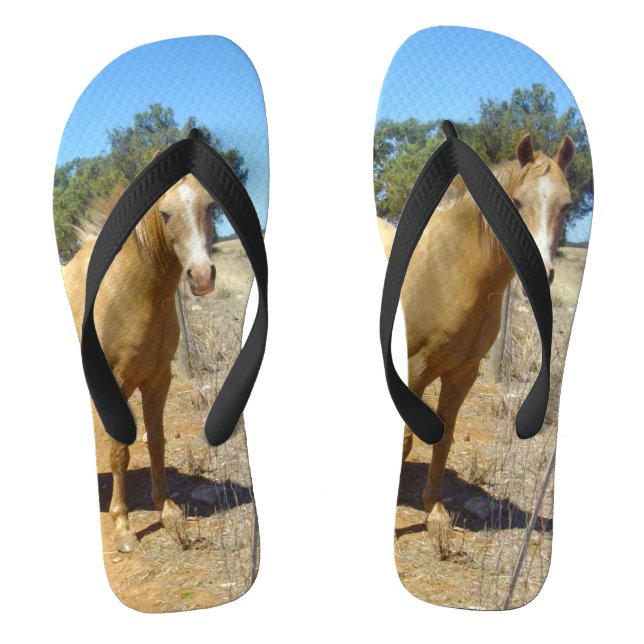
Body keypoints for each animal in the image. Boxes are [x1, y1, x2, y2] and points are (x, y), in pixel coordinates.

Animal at [63, 175, 217, 552]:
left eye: (209, 205)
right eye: (164, 213)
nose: (202, 276)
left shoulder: (158, 379)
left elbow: (156, 441)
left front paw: (168, 510)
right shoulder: (114, 387)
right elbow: (119, 452)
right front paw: (123, 528)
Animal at [378, 133, 575, 529]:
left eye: (566, 206)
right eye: (517, 201)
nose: (541, 275)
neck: (451, 269)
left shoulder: (463, 374)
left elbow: (445, 437)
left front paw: (435, 512)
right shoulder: (413, 370)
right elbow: (406, 438)